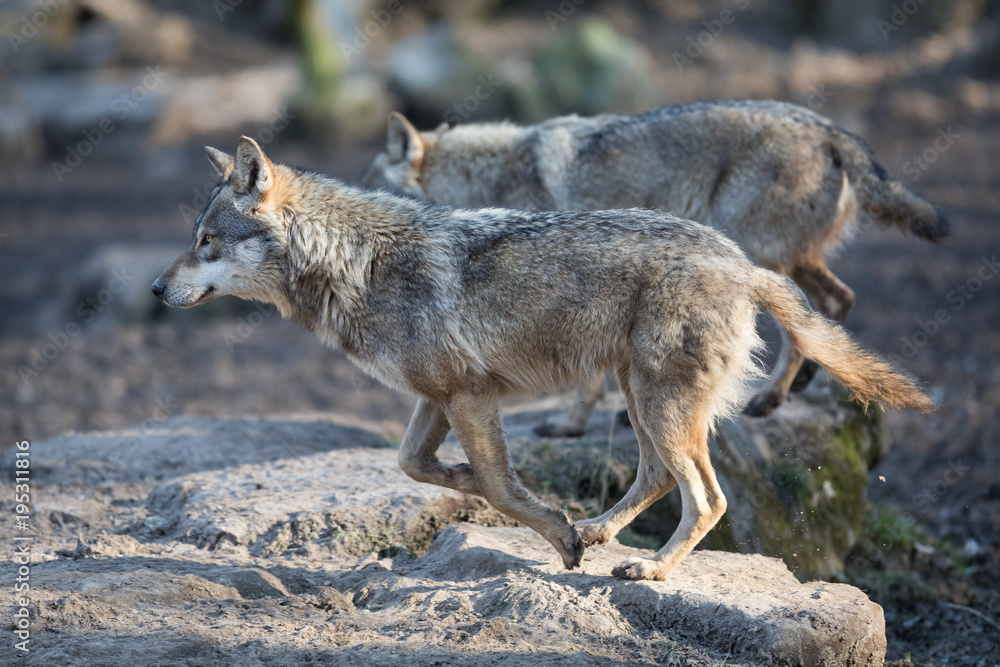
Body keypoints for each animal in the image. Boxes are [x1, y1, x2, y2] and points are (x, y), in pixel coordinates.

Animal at [152, 137, 933, 581]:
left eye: (205, 242)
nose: (157, 289)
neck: (356, 264)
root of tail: (743, 264)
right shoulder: (438, 397)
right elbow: (414, 465)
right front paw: (479, 485)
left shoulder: (470, 397)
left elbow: (500, 489)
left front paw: (553, 532)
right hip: (641, 399)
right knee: (656, 475)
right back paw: (603, 532)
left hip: (660, 405)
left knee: (707, 497)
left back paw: (651, 569)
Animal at [361, 100, 948, 434]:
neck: (488, 179)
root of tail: (830, 128)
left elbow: (587, 381)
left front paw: (570, 424)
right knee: (834, 301)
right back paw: (794, 389)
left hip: (747, 253)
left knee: (816, 306)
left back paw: (772, 397)